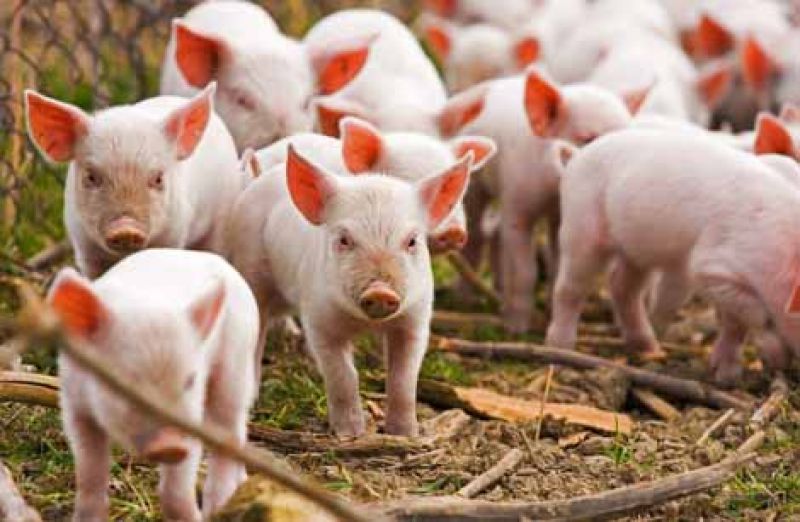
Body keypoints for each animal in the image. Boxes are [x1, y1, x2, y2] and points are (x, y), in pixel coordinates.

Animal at [25, 85, 244, 279]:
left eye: (158, 178)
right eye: (91, 177)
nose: (125, 228)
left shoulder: (175, 232)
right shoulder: (84, 246)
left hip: (222, 217)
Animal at [48, 248, 259, 520]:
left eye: (190, 381)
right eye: (125, 381)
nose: (170, 443)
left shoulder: (190, 417)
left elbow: (176, 491)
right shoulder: (74, 405)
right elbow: (89, 475)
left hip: (237, 361)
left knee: (231, 431)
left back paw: (219, 508)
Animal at [226, 145, 473, 436]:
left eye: (412, 241)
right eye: (344, 239)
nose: (380, 291)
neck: (363, 323)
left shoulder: (416, 318)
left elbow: (404, 378)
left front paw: (405, 434)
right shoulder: (319, 319)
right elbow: (342, 375)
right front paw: (350, 434)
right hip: (250, 266)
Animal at [438, 67, 637, 332]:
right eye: (587, 138)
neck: (552, 193)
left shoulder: (560, 216)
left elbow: (556, 266)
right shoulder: (518, 202)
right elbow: (526, 270)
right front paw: (517, 329)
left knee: (498, 235)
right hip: (477, 186)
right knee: (478, 234)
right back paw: (466, 301)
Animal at [546, 128, 800, 385]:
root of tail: (576, 157)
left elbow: (734, 323)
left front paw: (727, 376)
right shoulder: (712, 267)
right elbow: (755, 315)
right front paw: (744, 371)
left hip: (637, 248)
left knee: (622, 285)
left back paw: (649, 348)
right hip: (580, 225)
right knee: (569, 288)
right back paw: (560, 347)